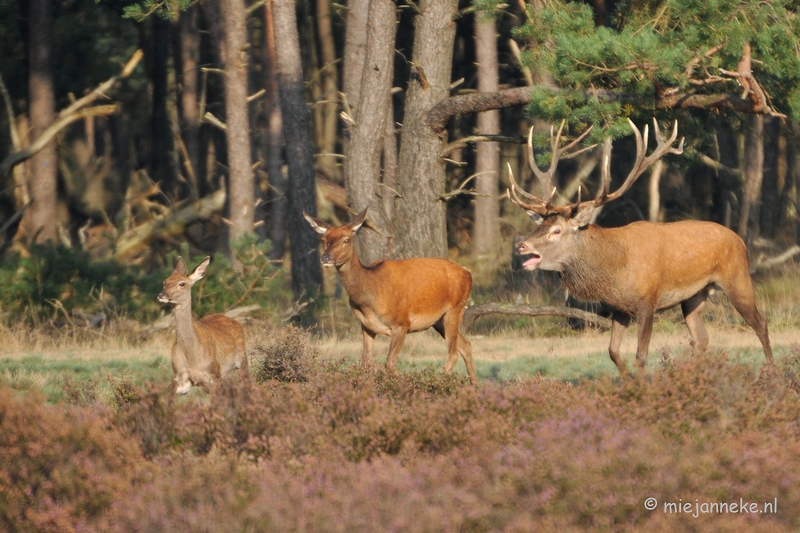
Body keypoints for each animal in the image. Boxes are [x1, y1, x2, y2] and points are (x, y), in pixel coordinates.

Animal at [155, 256, 244, 392]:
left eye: (182, 283)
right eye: (164, 282)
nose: (161, 295)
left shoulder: (214, 375)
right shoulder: (180, 376)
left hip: (242, 359)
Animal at [302, 208, 476, 382]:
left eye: (346, 240)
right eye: (324, 239)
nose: (326, 258)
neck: (369, 299)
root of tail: (468, 273)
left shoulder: (402, 323)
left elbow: (390, 363)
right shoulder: (366, 326)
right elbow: (366, 362)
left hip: (455, 308)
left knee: (452, 354)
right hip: (439, 320)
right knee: (466, 346)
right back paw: (473, 386)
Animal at [510, 119, 772, 374]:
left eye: (556, 231)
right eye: (541, 225)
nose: (521, 246)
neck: (614, 268)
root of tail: (739, 240)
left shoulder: (648, 301)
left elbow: (641, 356)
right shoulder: (619, 308)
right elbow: (613, 352)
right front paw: (626, 381)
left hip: (736, 277)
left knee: (760, 323)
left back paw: (770, 369)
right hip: (694, 296)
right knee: (701, 339)